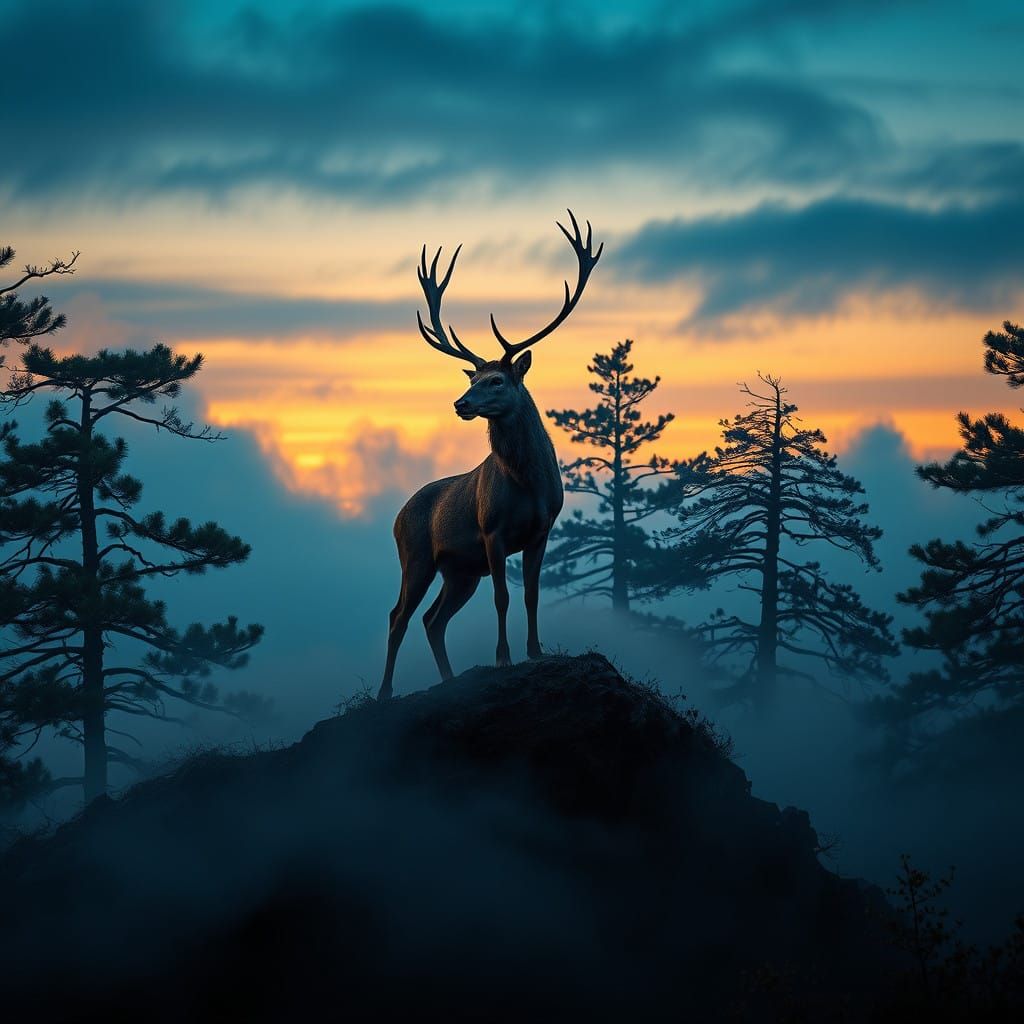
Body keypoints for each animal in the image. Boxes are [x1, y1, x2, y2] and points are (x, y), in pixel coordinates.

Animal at [378, 211, 603, 700]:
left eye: (497, 380)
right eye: (474, 378)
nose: (460, 403)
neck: (529, 484)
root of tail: (398, 514)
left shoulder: (542, 529)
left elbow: (531, 594)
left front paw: (536, 651)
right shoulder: (491, 529)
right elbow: (503, 597)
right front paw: (503, 657)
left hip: (460, 571)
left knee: (432, 619)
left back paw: (449, 679)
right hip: (416, 555)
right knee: (398, 615)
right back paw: (385, 693)